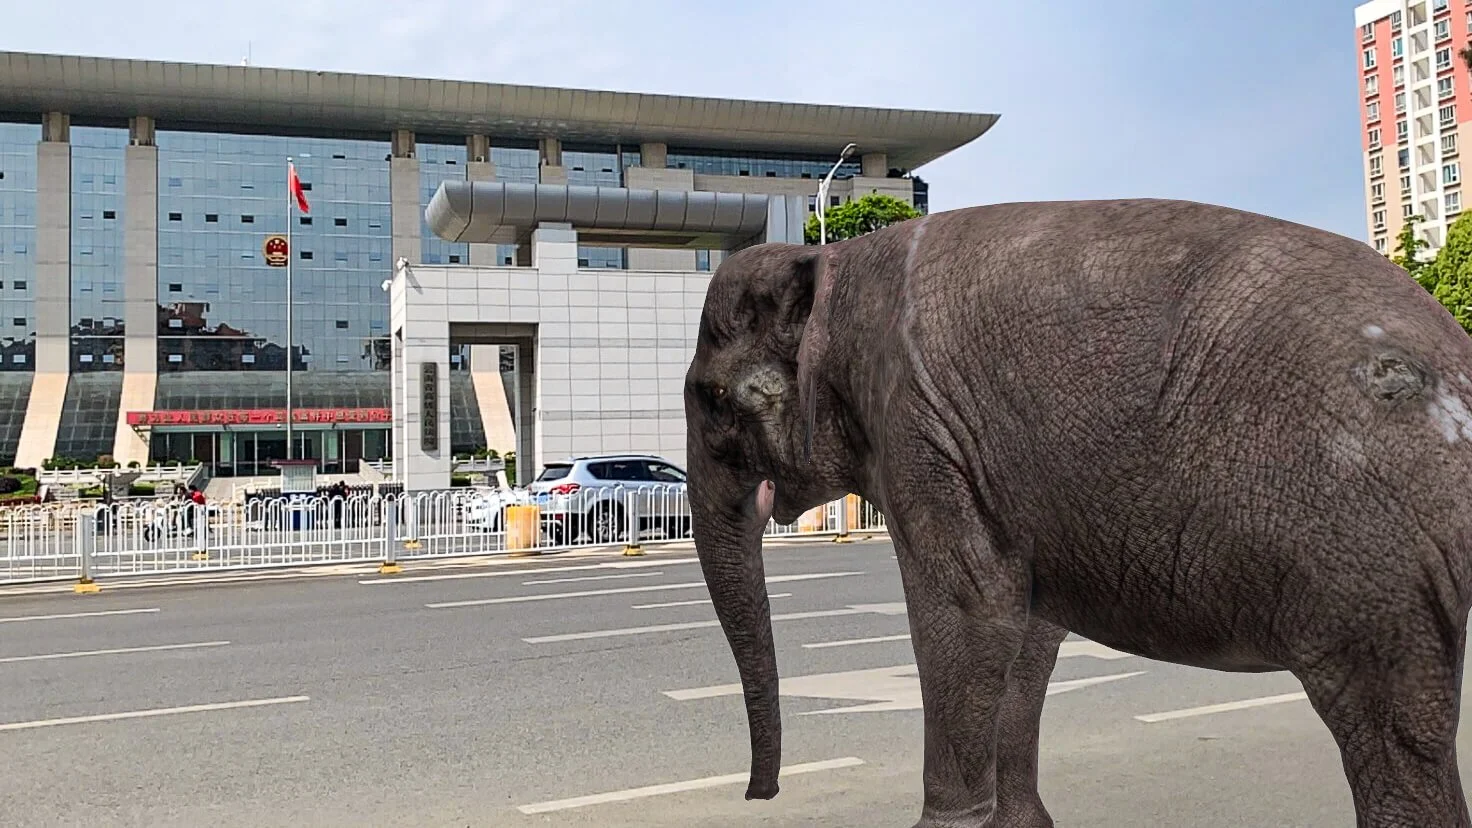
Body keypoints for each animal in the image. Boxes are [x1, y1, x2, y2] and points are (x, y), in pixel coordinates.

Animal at [682, 197, 1472, 827]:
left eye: (711, 398)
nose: (758, 794)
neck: (829, 261)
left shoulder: (919, 429)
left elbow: (974, 615)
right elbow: (1027, 629)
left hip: (1367, 550)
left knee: (1390, 733)